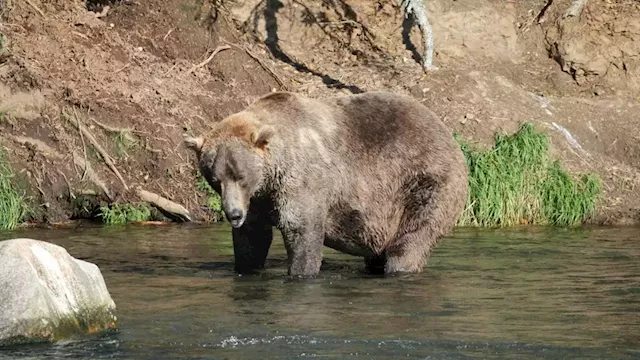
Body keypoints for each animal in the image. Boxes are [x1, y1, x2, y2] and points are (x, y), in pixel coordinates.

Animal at [182, 91, 468, 278]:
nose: (233, 214)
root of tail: (448, 133)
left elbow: (302, 229)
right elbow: (253, 238)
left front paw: (301, 272)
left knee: (412, 238)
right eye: (215, 180)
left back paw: (400, 267)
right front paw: (246, 267)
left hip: (423, 183)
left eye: (241, 176)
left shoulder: (303, 180)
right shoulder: (260, 200)